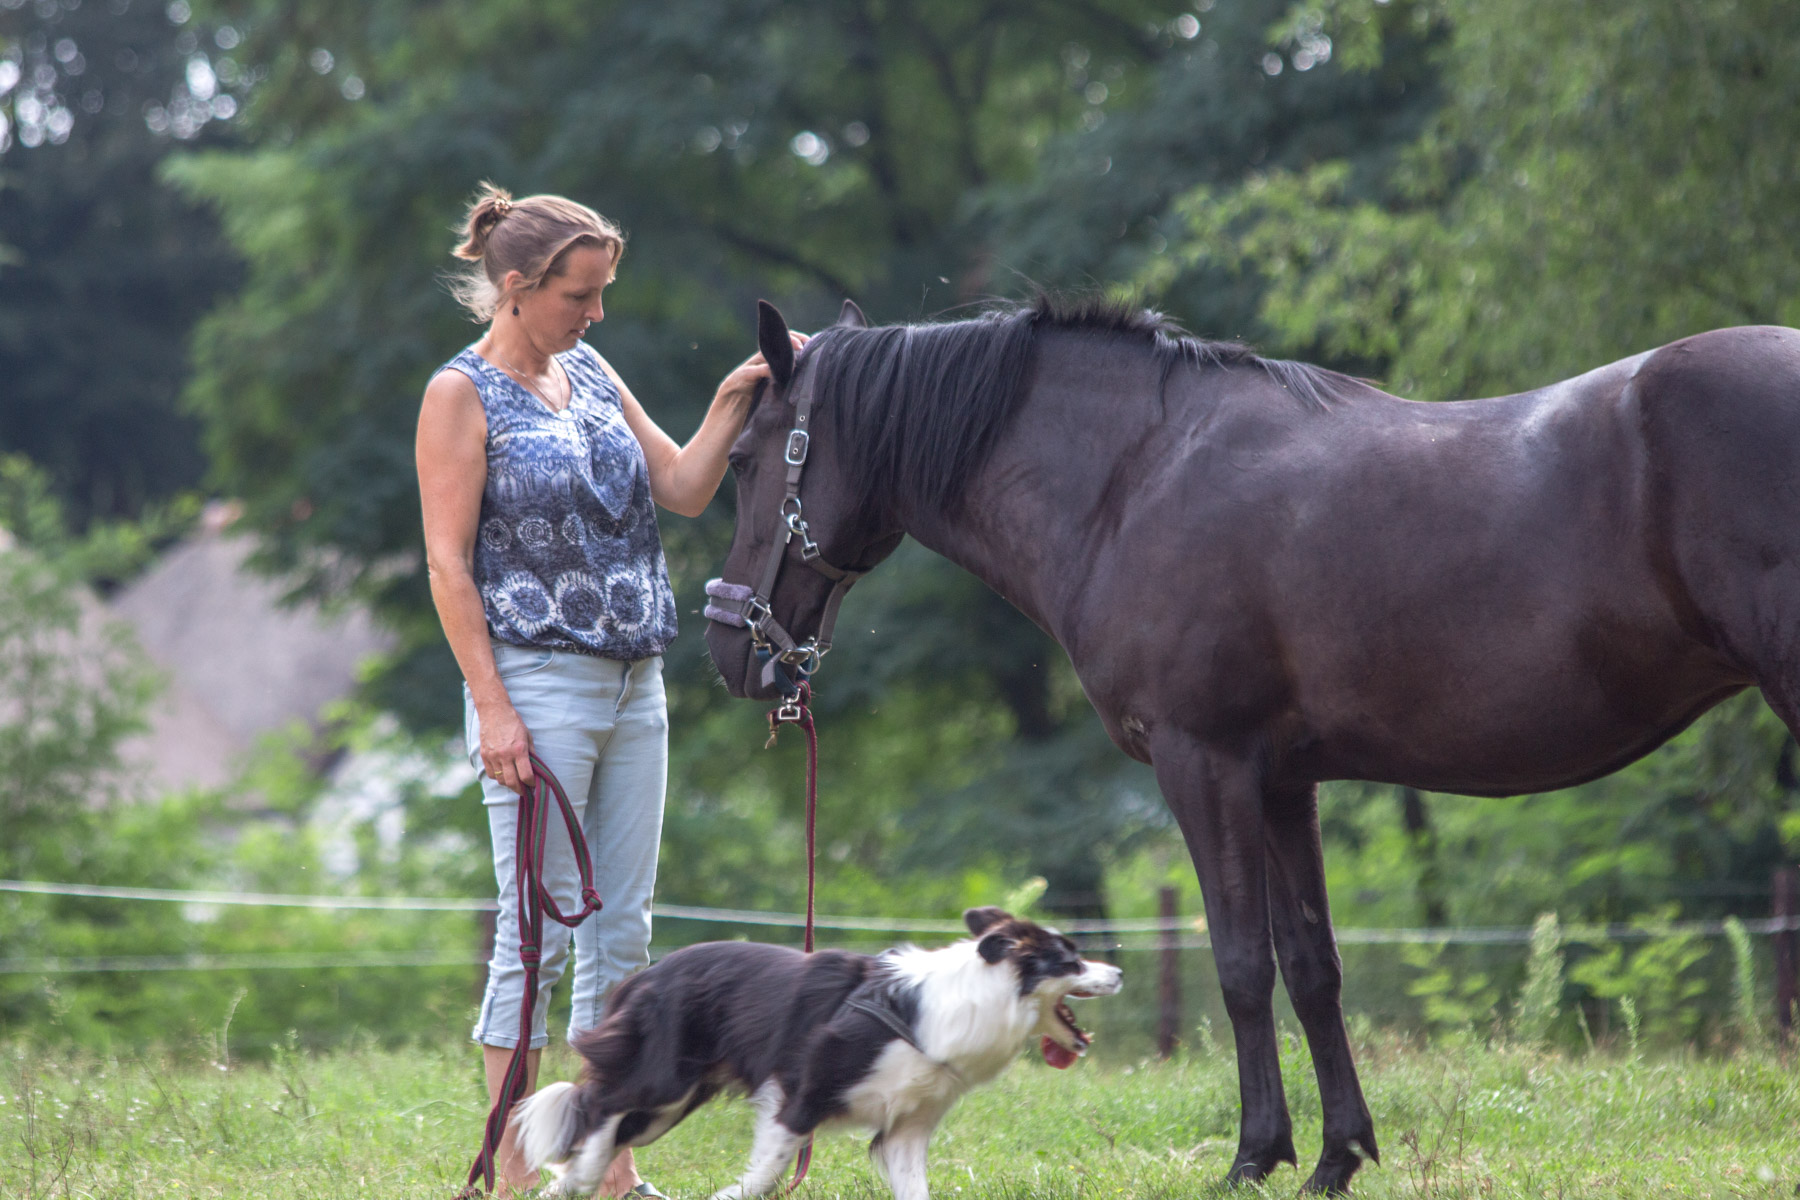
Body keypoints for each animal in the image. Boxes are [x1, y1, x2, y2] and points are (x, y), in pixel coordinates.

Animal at [514, 910, 1116, 1200]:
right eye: (1072, 961)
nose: (1119, 972)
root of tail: (644, 977)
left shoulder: (909, 1123)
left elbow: (914, 1185)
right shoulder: (802, 1086)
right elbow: (770, 1169)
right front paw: (730, 1195)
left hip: (672, 1102)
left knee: (612, 1122)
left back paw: (567, 1184)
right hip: (664, 1076)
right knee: (600, 1106)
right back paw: (582, 1175)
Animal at [698, 295, 1800, 1194]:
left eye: (745, 461)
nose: (728, 645)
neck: (1134, 479)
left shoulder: (1206, 762)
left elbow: (1239, 964)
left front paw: (1253, 1157)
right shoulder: (1283, 783)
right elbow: (1312, 966)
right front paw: (1336, 1158)